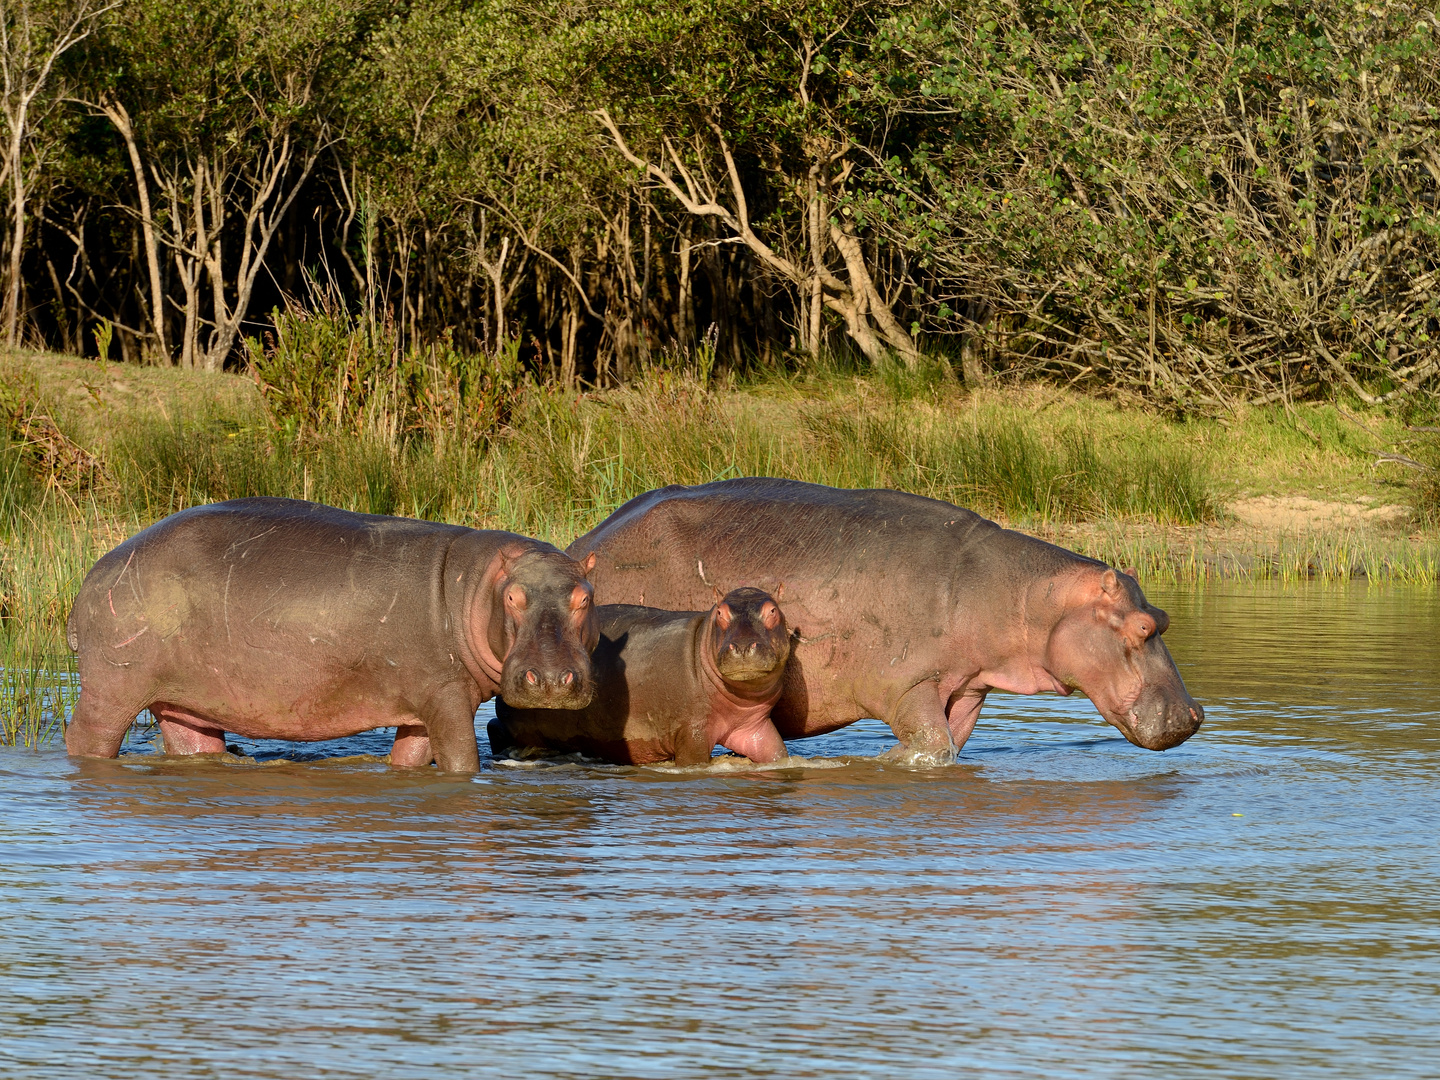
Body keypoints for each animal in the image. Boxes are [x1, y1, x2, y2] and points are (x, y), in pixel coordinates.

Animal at [63, 498, 596, 771]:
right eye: (514, 598)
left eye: (585, 597)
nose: (553, 681)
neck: (475, 584)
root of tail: (95, 573)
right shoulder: (444, 694)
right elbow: (462, 760)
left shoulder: (429, 703)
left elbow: (409, 757)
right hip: (113, 687)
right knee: (86, 736)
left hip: (180, 701)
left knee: (192, 742)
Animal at [492, 587, 789, 766]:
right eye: (720, 613)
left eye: (773, 610)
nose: (743, 647)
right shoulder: (692, 731)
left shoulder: (755, 727)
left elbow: (776, 752)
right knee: (495, 729)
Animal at [561, 478, 1203, 766]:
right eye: (1142, 629)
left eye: (1164, 617)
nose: (1197, 714)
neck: (1027, 600)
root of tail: (582, 546)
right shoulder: (906, 684)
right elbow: (931, 747)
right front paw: (879, 765)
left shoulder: (966, 689)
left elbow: (948, 745)